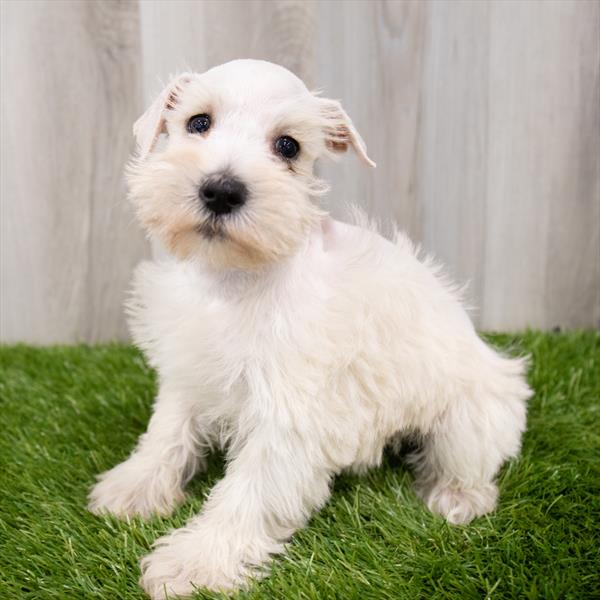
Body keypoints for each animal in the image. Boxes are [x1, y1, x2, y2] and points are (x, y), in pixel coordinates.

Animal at [88, 58, 528, 596]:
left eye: (288, 147)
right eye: (197, 122)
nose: (221, 189)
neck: (235, 279)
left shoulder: (290, 413)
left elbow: (247, 492)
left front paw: (195, 563)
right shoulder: (188, 369)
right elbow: (167, 433)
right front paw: (134, 488)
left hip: (470, 416)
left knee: (471, 463)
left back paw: (457, 498)